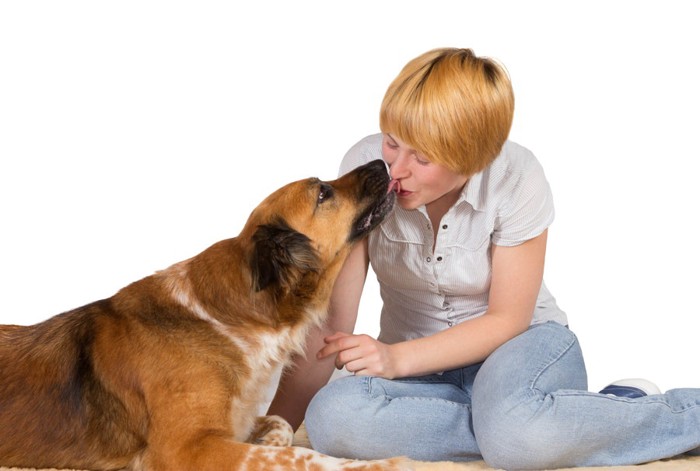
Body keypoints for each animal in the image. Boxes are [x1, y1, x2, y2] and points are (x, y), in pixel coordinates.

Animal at [0, 161, 410, 471]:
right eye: (323, 192)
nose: (381, 160)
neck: (226, 320)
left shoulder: (236, 421)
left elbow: (281, 426)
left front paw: (272, 439)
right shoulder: (187, 448)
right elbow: (303, 457)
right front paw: (380, 464)